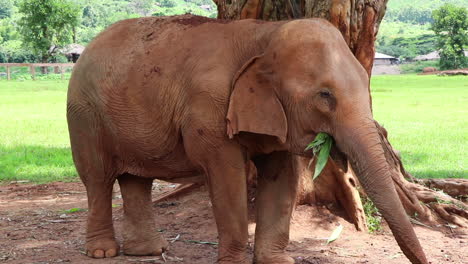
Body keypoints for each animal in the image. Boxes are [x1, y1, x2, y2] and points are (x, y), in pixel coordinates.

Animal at [67, 14, 430, 264]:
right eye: (325, 95)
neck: (265, 34)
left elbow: (281, 177)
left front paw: (278, 262)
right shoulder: (211, 111)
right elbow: (227, 177)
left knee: (136, 180)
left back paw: (148, 251)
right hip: (84, 116)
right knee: (98, 178)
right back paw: (102, 252)